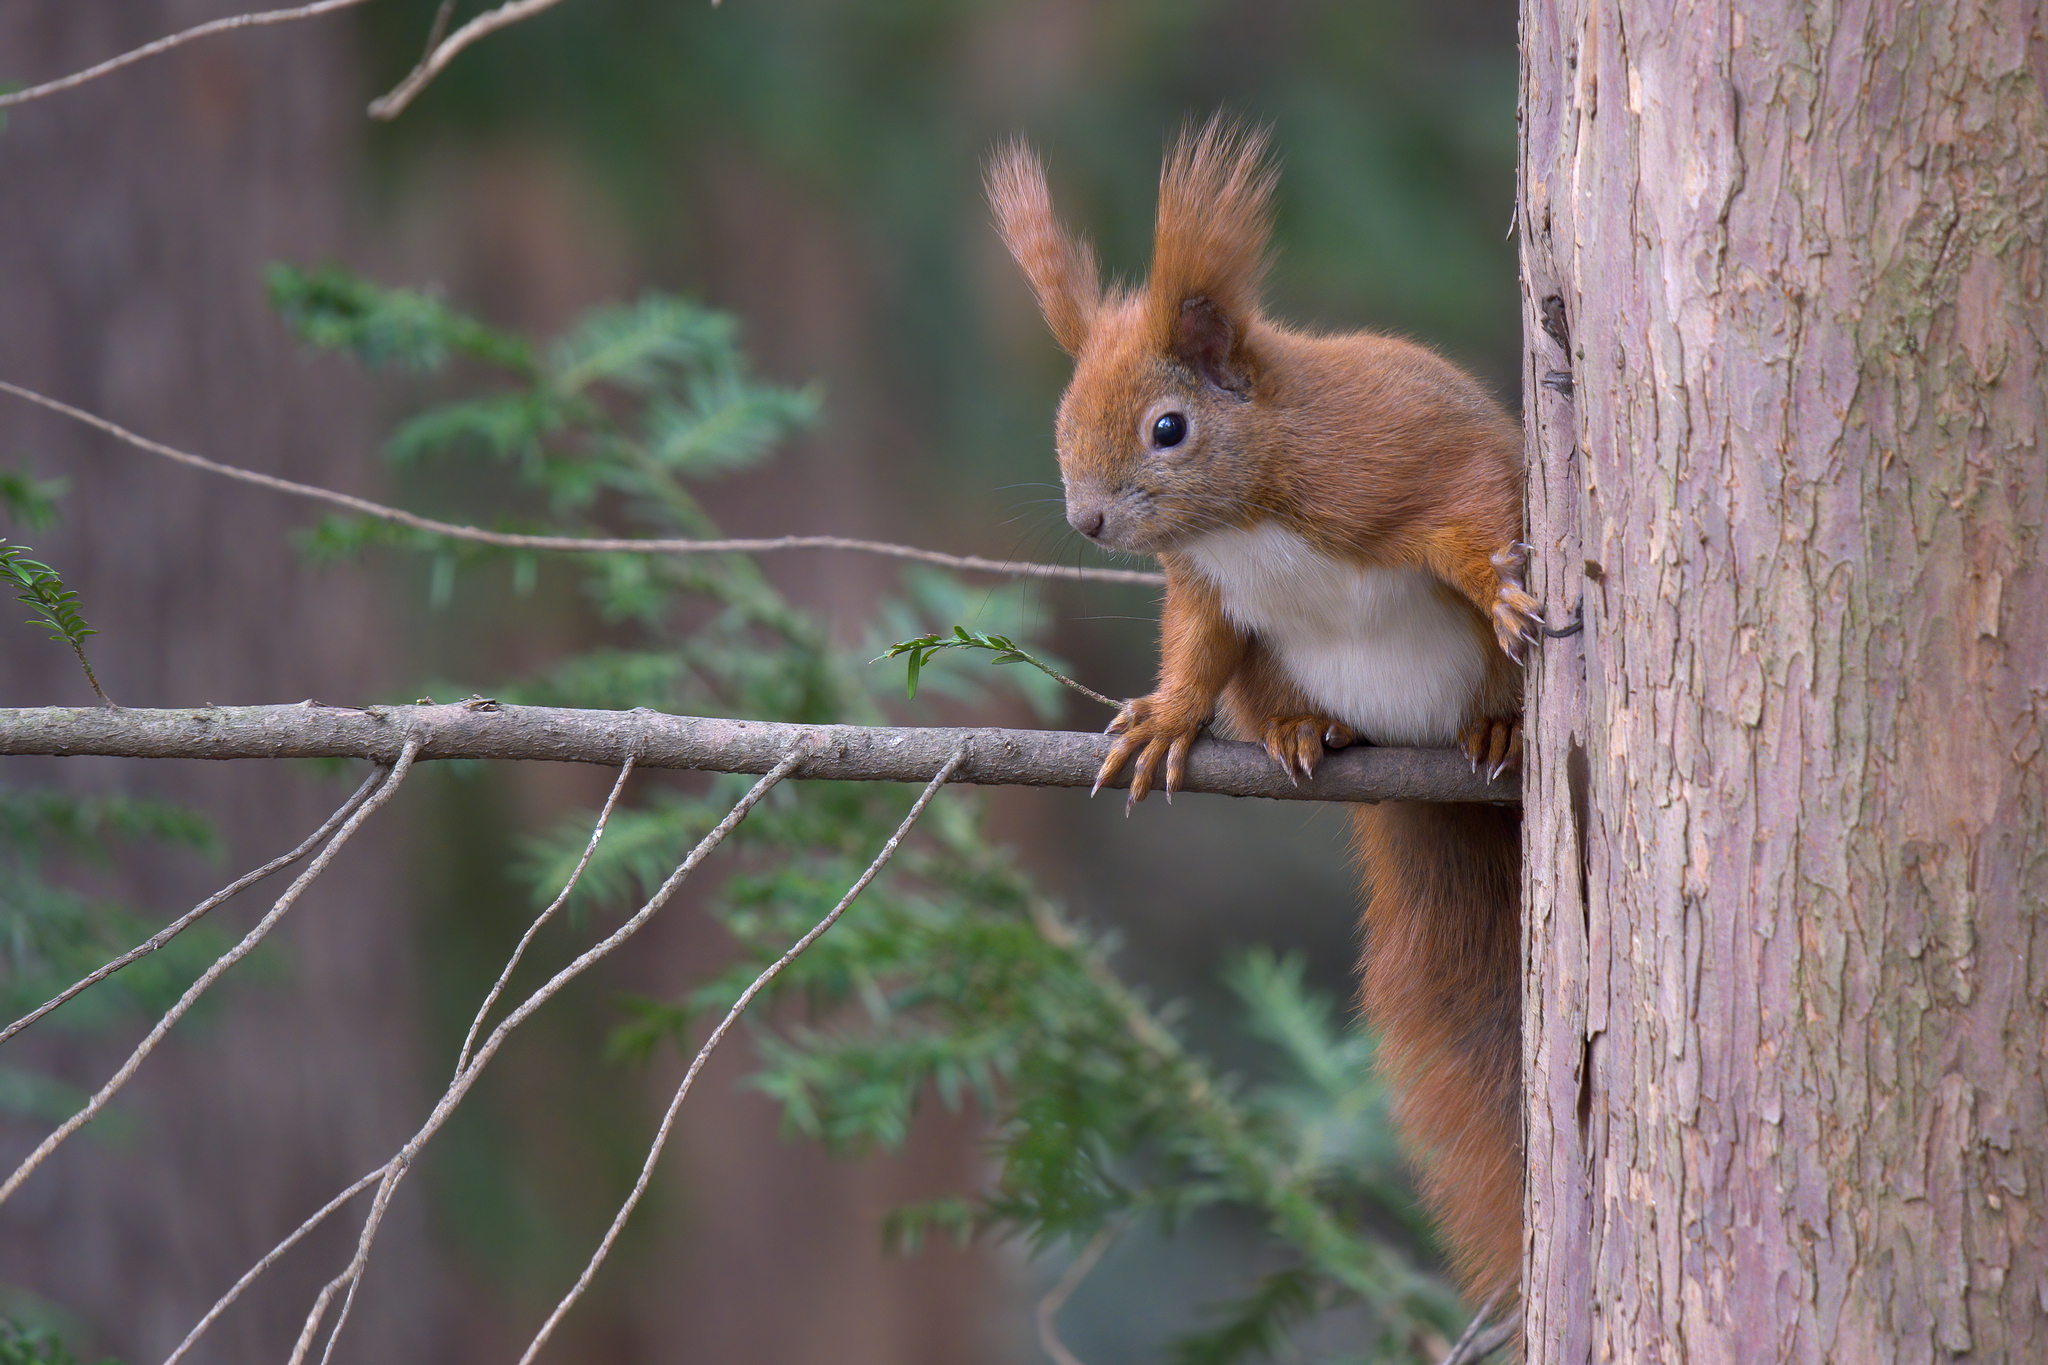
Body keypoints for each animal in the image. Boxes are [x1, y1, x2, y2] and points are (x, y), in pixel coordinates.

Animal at [987, 120, 1540, 1301]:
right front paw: (1164, 720)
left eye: (1168, 427)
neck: (1247, 514)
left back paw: (1497, 727)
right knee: (1281, 700)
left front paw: (1508, 592)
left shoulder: (1394, 459)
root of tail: (1417, 750)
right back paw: (1302, 732)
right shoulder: (1205, 587)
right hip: (1286, 676)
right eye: (1063, 419)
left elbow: (1475, 515)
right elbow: (1197, 652)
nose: (1087, 520)